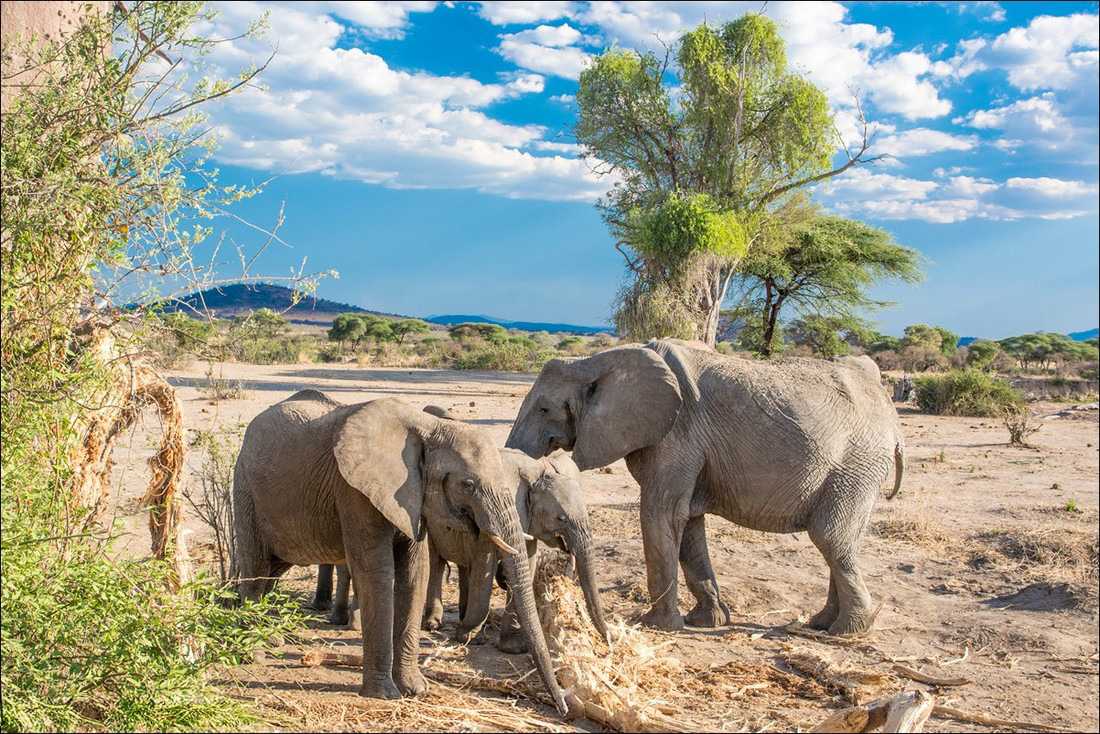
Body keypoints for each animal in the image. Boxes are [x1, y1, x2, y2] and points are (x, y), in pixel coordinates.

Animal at [233, 390, 568, 714]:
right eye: (467, 484)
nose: (564, 708)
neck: (429, 428)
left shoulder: (413, 498)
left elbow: (414, 573)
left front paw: (416, 690)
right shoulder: (354, 489)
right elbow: (377, 573)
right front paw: (384, 695)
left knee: (271, 572)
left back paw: (271, 639)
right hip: (246, 488)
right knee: (255, 568)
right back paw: (255, 653)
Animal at [506, 339, 904, 636]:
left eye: (544, 409)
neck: (597, 361)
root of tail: (886, 403)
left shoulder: (678, 432)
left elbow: (661, 513)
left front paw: (655, 625)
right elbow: (689, 523)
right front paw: (706, 621)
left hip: (857, 460)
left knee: (829, 536)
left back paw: (848, 631)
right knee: (843, 540)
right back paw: (822, 624)